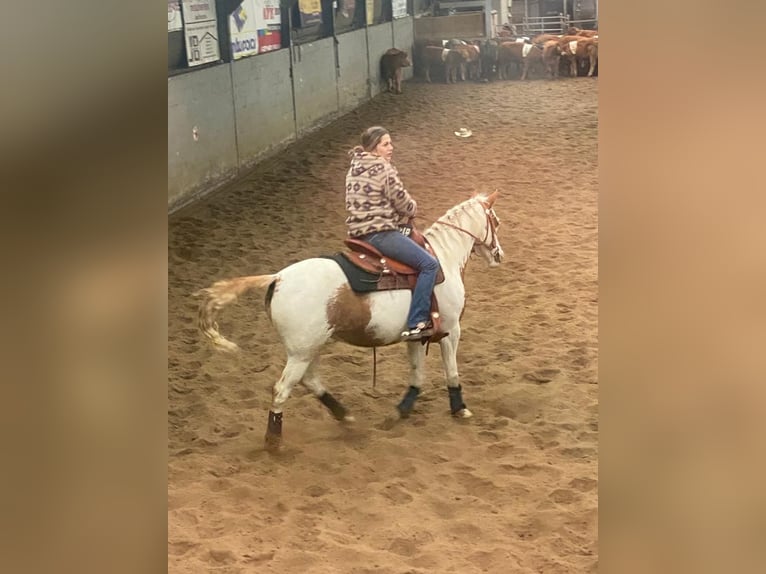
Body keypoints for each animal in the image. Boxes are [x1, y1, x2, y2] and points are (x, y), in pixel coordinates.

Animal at [198, 194, 508, 450]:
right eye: (495, 220)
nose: (499, 255)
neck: (442, 260)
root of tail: (278, 278)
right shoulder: (451, 329)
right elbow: (451, 371)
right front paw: (460, 408)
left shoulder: (417, 334)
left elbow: (416, 373)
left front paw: (401, 410)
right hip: (301, 352)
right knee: (282, 389)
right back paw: (274, 442)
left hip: (309, 348)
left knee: (310, 381)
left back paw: (345, 417)